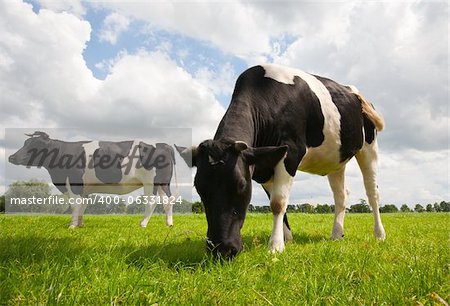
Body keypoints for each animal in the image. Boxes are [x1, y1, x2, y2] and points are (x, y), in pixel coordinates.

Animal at [9, 131, 176, 230]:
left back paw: (142, 224)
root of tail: (163, 144)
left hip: (150, 182)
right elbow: (82, 206)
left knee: (152, 201)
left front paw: (72, 226)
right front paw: (80, 224)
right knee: (167, 201)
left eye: (35, 145)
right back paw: (169, 224)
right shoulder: (84, 188)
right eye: (25, 143)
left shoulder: (74, 183)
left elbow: (75, 205)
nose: (11, 157)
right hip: (163, 184)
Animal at [176, 64, 386, 258]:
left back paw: (379, 234)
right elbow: (277, 203)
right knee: (341, 195)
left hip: (370, 146)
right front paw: (288, 239)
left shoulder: (290, 152)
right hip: (336, 159)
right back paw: (336, 234)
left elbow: (278, 202)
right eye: (199, 187)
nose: (222, 250)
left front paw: (276, 246)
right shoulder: (263, 164)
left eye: (241, 185)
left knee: (372, 193)